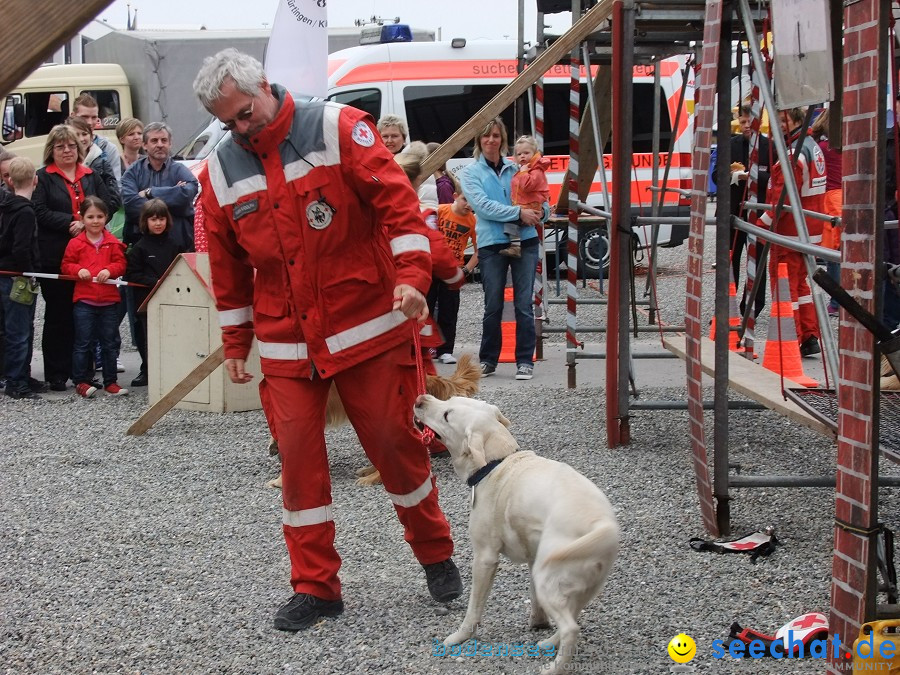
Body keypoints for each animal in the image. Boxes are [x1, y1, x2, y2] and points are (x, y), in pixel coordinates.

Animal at [414, 396, 620, 675]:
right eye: (451, 398)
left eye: (447, 415)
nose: (419, 399)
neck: (497, 463)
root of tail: (602, 523)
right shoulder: (532, 556)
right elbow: (534, 600)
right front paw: (538, 623)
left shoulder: (485, 559)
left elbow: (473, 608)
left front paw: (460, 636)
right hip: (584, 586)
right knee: (573, 617)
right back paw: (549, 643)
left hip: (550, 577)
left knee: (571, 628)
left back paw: (554, 668)